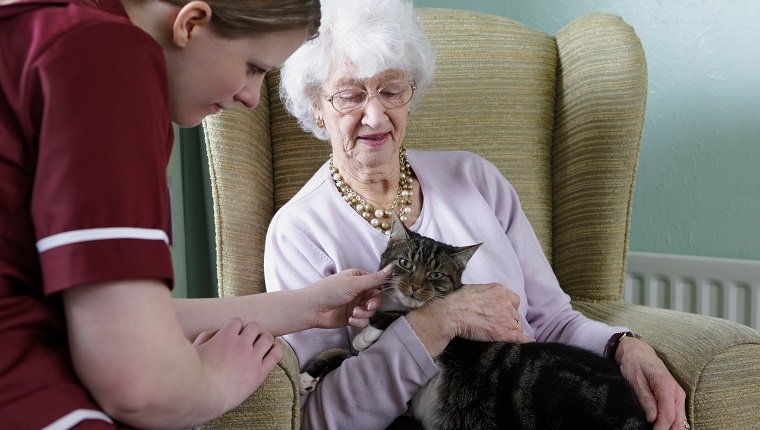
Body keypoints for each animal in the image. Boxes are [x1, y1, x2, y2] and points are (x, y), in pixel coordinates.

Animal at [300, 218, 652, 430]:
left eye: (436, 274)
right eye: (404, 263)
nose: (414, 286)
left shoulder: (450, 338)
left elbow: (404, 317)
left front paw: (370, 329)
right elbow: (338, 353)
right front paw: (307, 375)